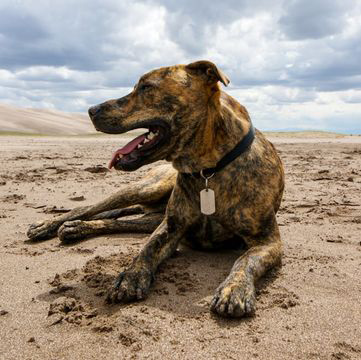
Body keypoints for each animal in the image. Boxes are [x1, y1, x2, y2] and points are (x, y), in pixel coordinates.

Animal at [26, 60, 284, 316]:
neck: (208, 170)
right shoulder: (170, 227)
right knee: (90, 208)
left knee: (119, 220)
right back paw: (48, 225)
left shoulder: (268, 241)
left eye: (146, 87)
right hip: (147, 188)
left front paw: (234, 288)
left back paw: (76, 228)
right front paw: (131, 276)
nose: (91, 109)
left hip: (151, 213)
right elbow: (148, 247)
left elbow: (245, 260)